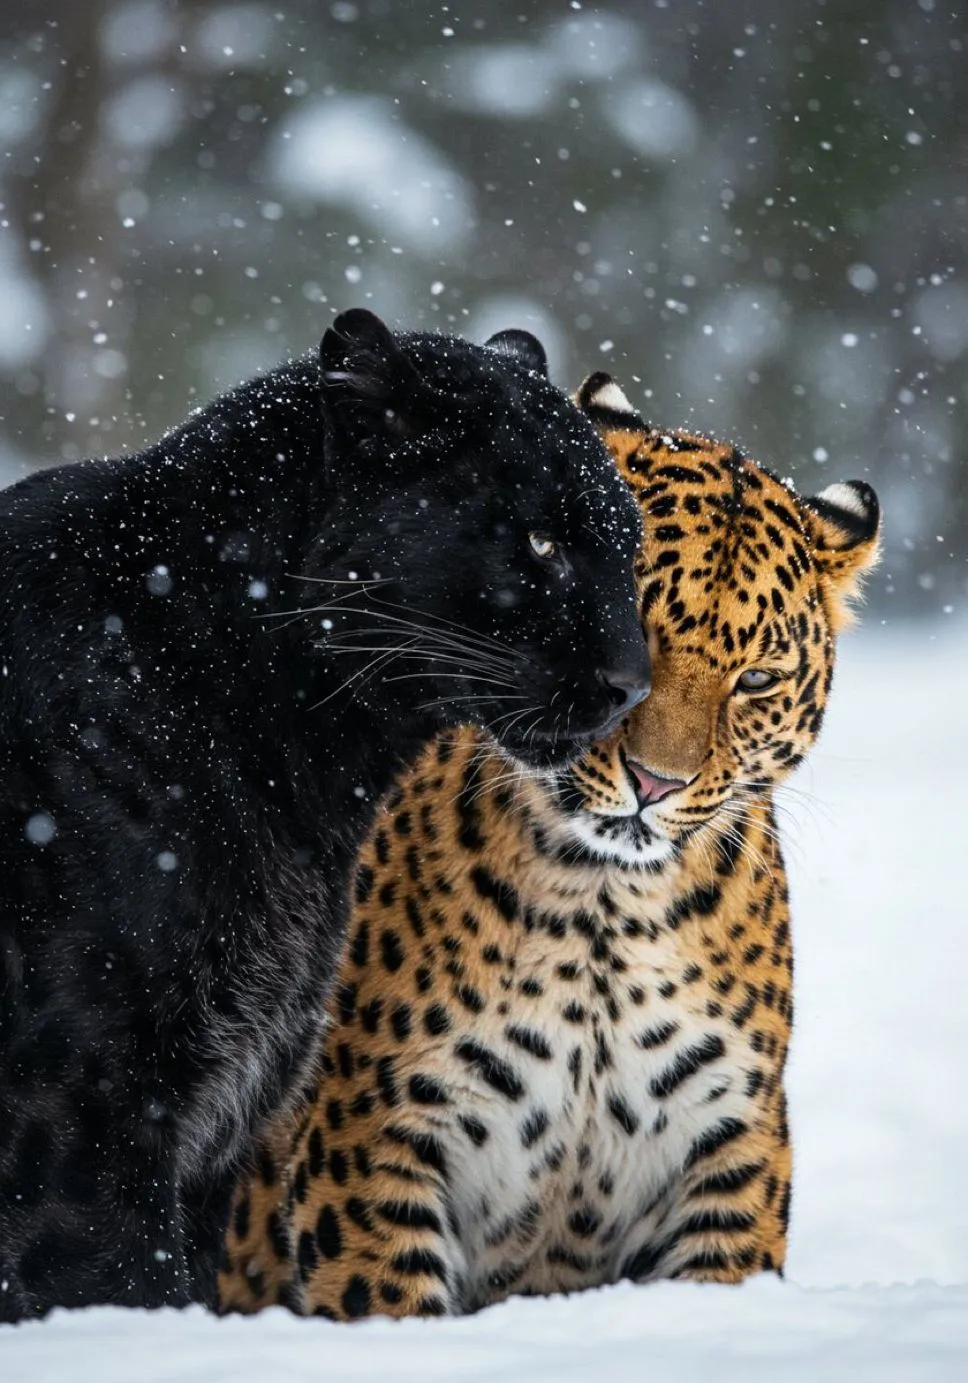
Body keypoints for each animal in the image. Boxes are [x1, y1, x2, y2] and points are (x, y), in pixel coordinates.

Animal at [217, 372, 880, 1321]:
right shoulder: (374, 1132)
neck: (605, 909)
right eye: (631, 620)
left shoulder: (733, 1143)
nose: (656, 782)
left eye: (755, 677)